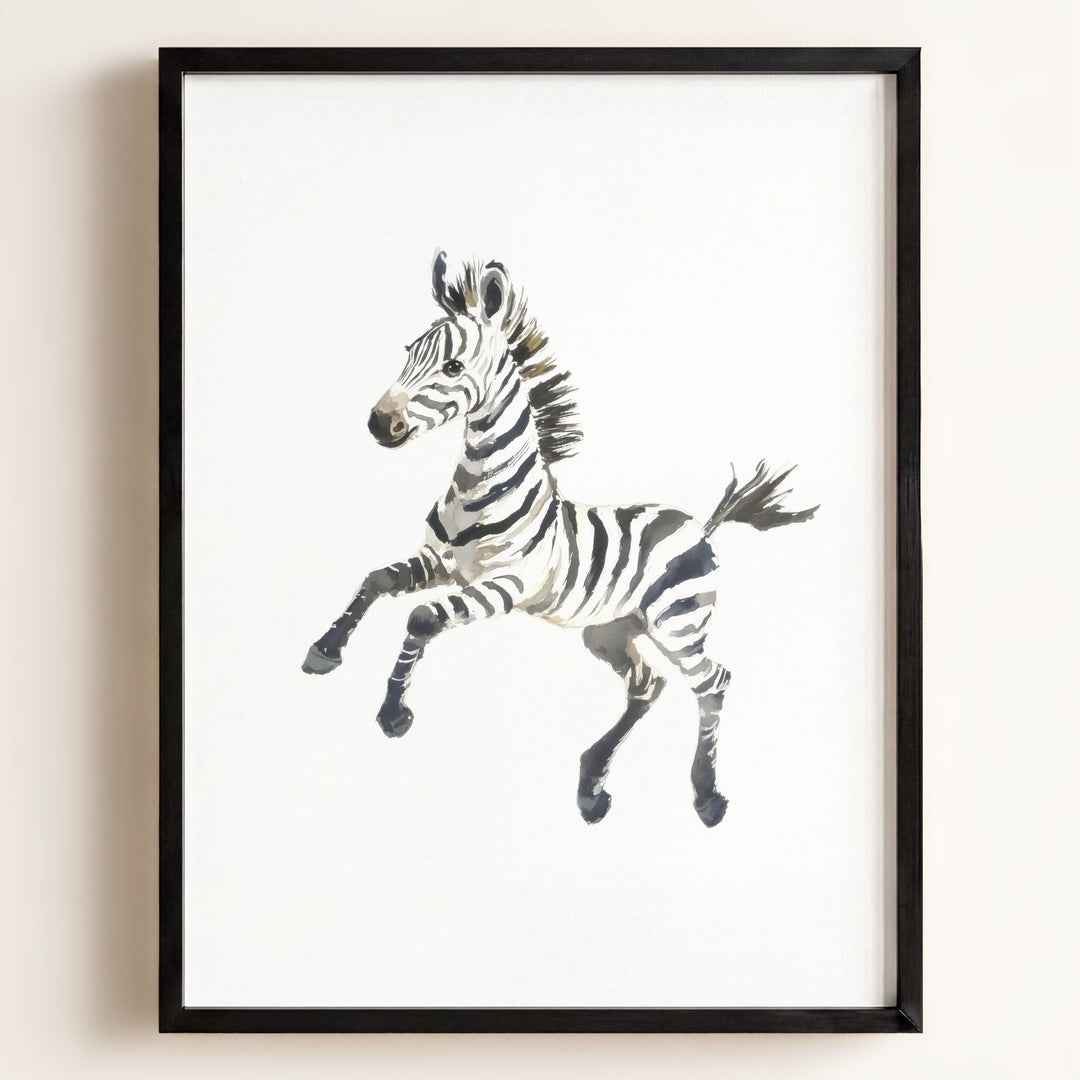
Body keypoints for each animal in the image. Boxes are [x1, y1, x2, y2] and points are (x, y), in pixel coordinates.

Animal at [303, 252, 817, 827]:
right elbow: (376, 579)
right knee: (648, 685)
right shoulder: (442, 563)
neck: (478, 486)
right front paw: (325, 649)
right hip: (609, 631)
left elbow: (422, 618)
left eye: (453, 367)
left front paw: (394, 712)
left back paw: (706, 795)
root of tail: (700, 525)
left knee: (714, 682)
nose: (379, 422)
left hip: (679, 625)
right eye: (410, 352)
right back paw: (592, 785)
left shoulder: (506, 585)